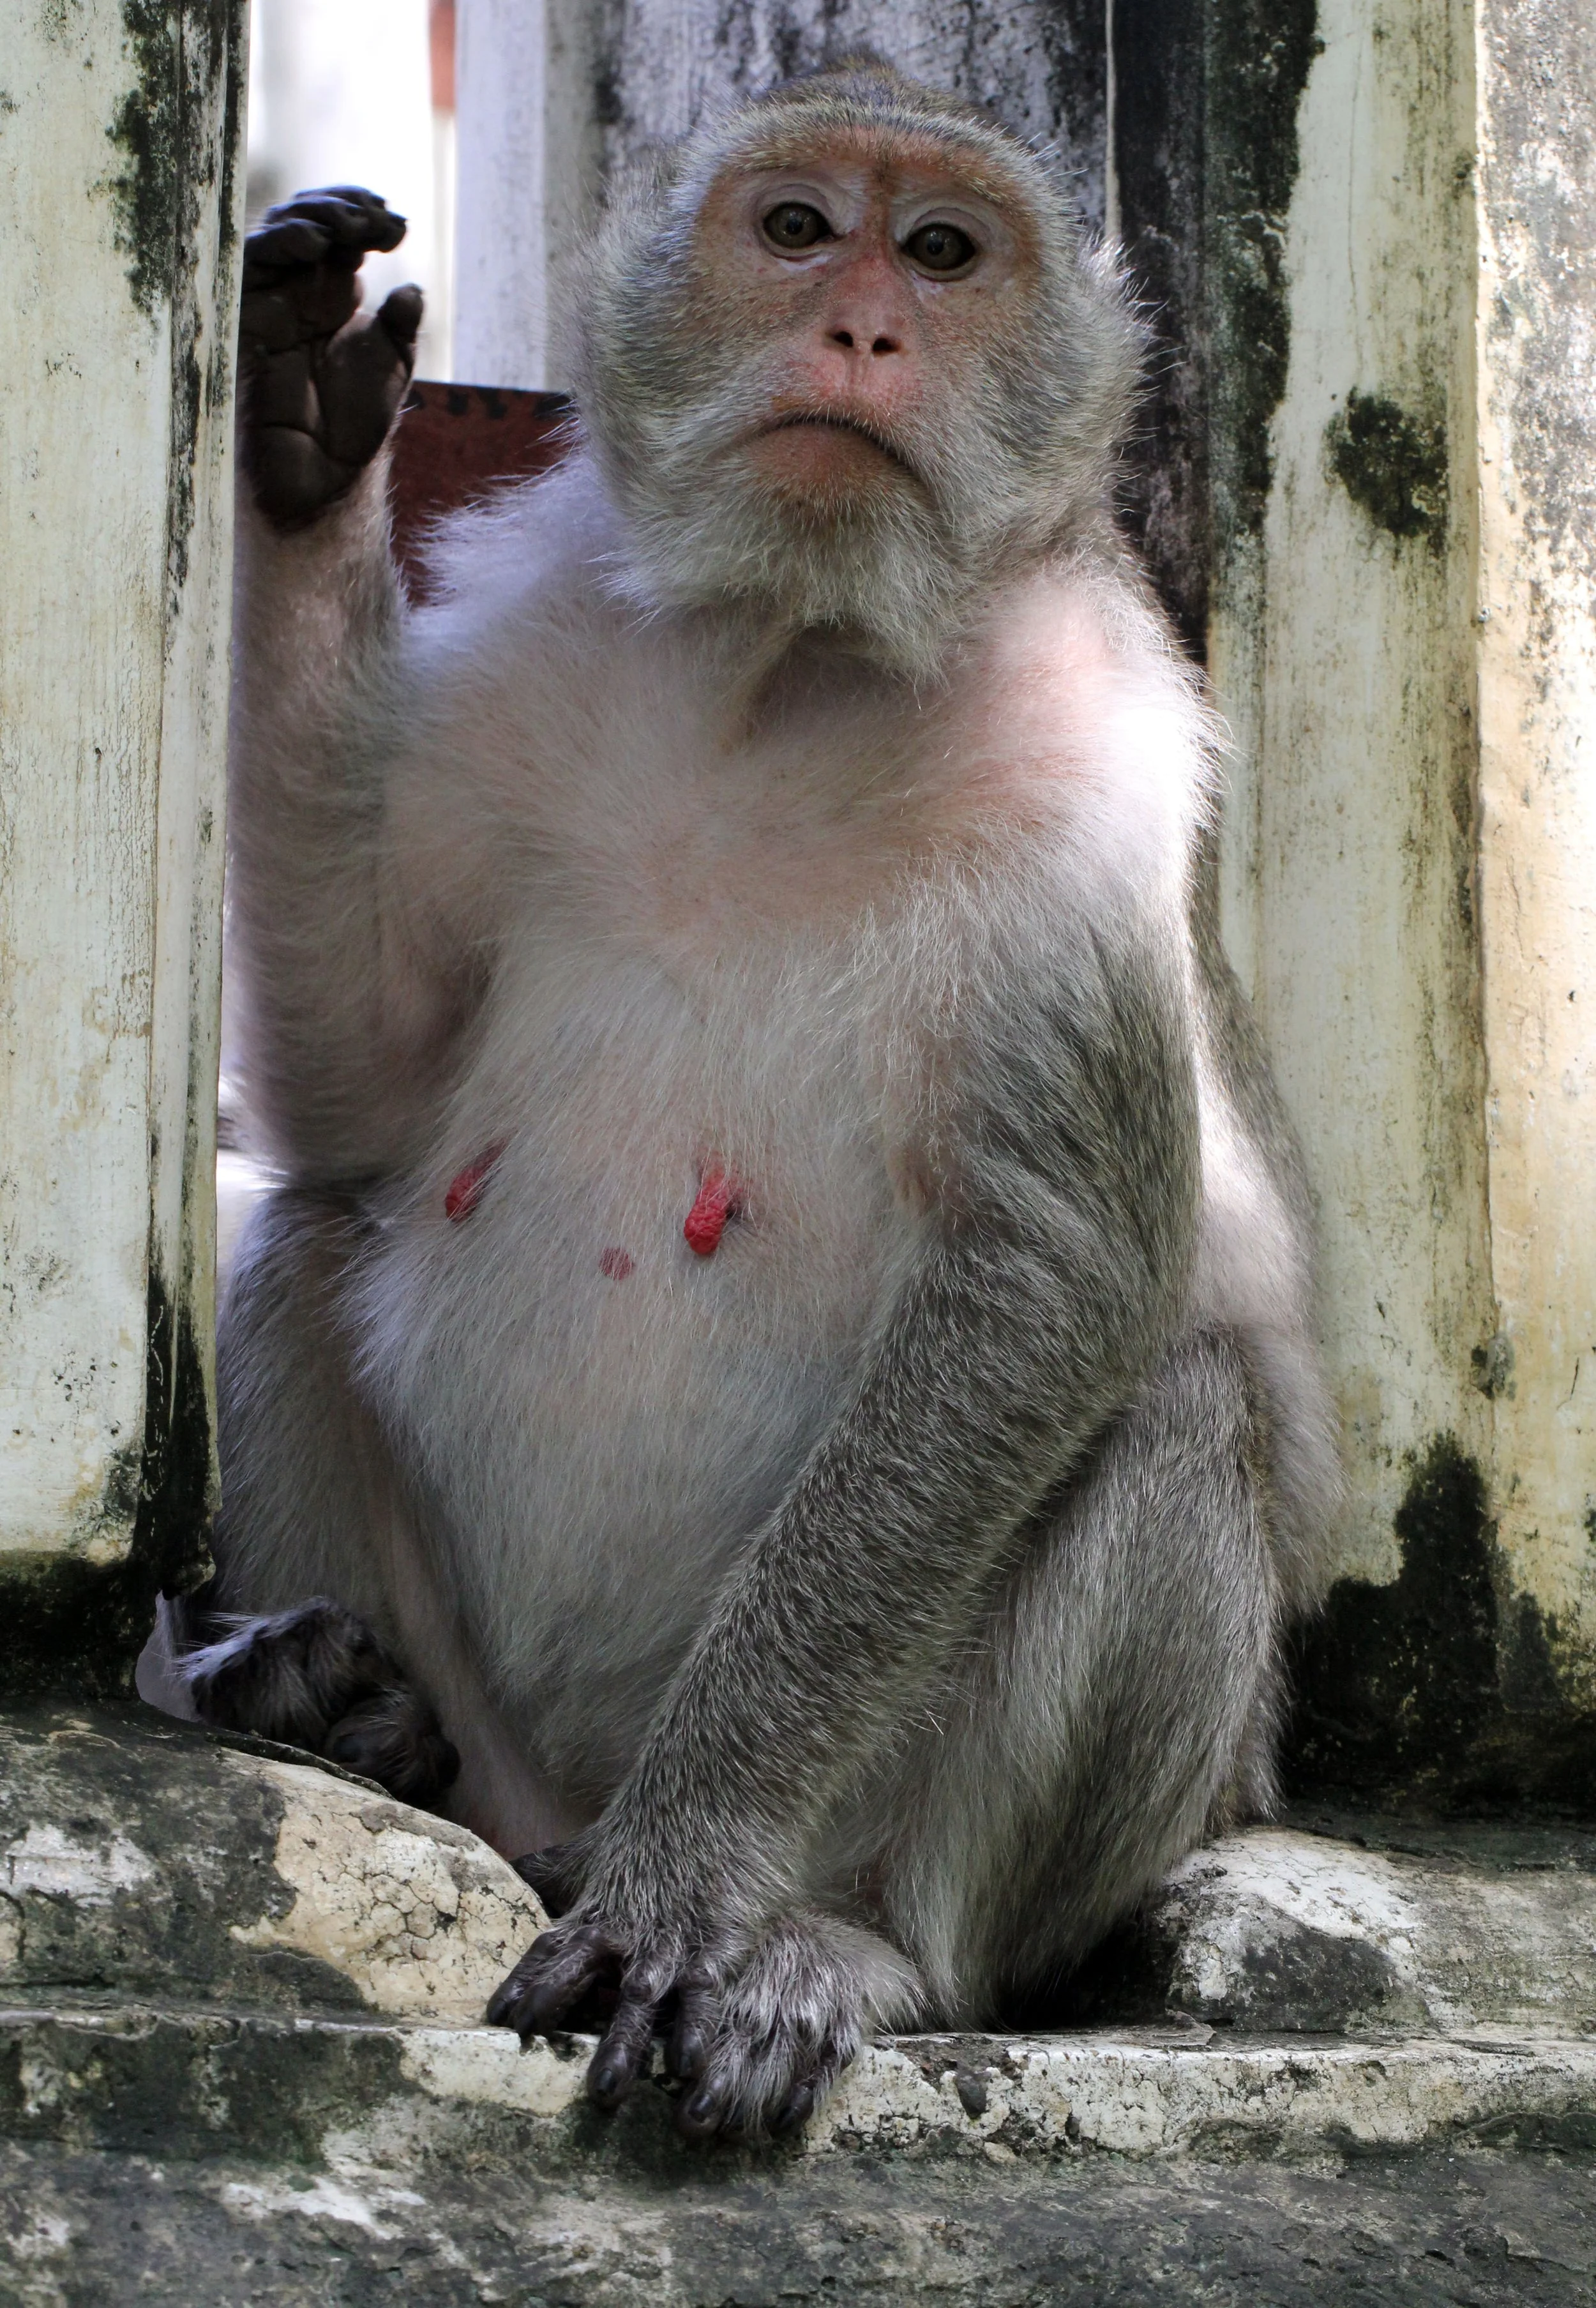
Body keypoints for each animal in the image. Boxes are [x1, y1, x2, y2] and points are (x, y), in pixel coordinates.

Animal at [182, 60, 1340, 2141]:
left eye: (944, 252)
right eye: (799, 228)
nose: (863, 328)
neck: (793, 670)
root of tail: (552, 1804)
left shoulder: (1091, 771)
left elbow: (1042, 1282)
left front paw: (684, 1889)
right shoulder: (529, 667)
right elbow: (363, 1093)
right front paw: (301, 427)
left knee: (1181, 1408)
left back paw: (847, 1945)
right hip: (503, 1748)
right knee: (307, 1231)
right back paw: (331, 1706)